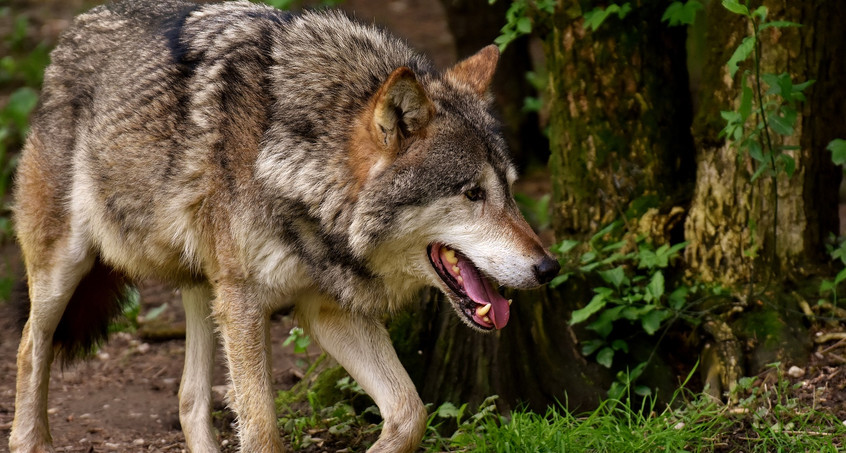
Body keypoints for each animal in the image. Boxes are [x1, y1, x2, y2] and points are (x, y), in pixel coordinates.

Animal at [8, 0, 564, 450]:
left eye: (510, 189)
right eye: (472, 194)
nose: (548, 268)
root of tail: (75, 29)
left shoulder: (327, 309)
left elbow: (410, 413)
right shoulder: (247, 303)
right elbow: (262, 432)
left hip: (206, 287)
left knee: (189, 401)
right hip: (68, 267)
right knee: (30, 348)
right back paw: (30, 441)